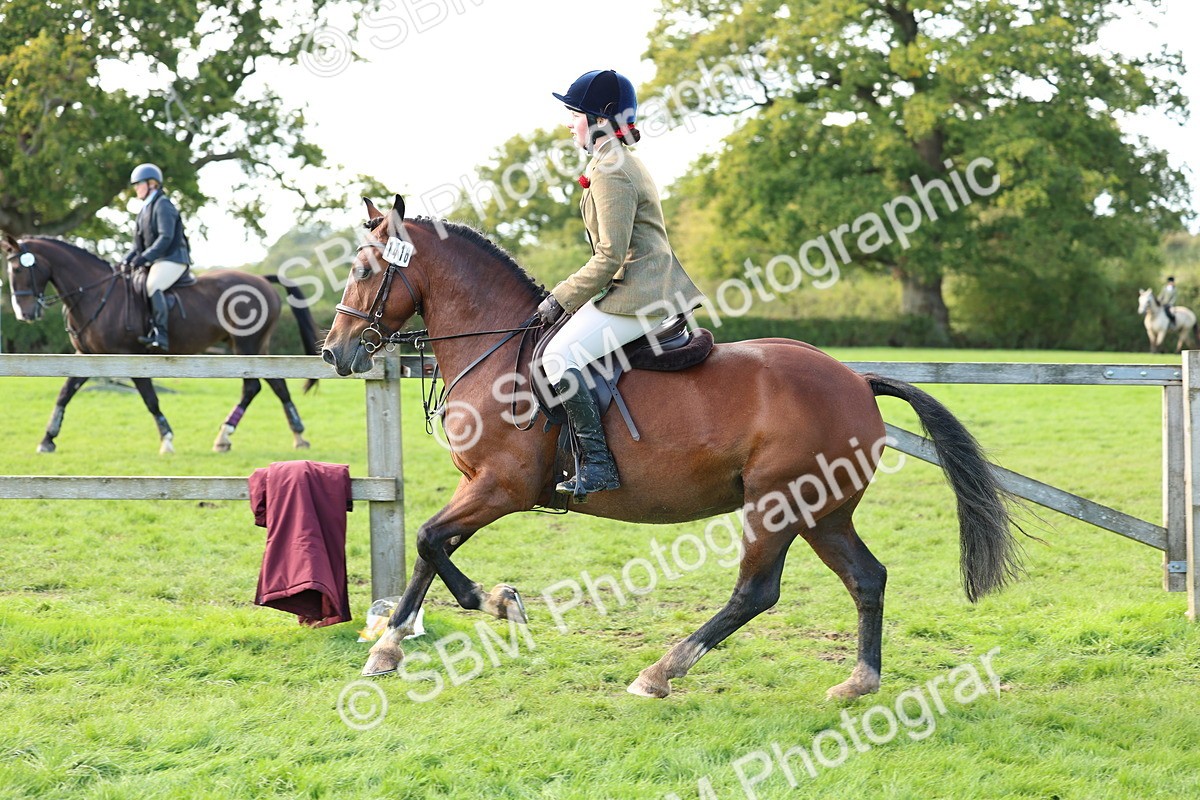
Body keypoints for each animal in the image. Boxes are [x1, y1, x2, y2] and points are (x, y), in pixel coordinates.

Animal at [3, 233, 318, 454]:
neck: (96, 294)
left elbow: (149, 398)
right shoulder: (87, 356)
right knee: (276, 384)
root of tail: (261, 279)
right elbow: (64, 393)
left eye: (19, 269)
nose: (24, 314)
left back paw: (228, 435)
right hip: (254, 348)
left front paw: (166, 439)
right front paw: (47, 439)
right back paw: (294, 435)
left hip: (246, 345)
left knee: (253, 387)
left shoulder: (129, 356)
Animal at [320, 196, 1025, 700]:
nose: (334, 353)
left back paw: (661, 672)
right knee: (866, 577)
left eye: (363, 270)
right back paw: (858, 681)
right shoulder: (480, 486)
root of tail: (857, 380)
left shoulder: (502, 485)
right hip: (823, 512)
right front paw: (401, 640)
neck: (497, 351)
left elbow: (428, 541)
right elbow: (430, 548)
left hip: (778, 505)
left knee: (757, 591)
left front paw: (481, 609)